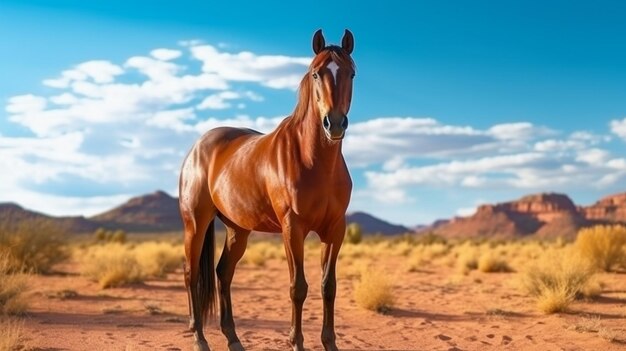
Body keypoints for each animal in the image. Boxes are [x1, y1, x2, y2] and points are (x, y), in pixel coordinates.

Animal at [179, 28, 356, 350]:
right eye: (316, 73)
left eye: (351, 73)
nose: (334, 124)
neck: (314, 161)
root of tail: (198, 147)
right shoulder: (292, 228)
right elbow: (298, 287)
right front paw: (296, 342)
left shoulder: (335, 229)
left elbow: (329, 286)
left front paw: (330, 343)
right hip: (195, 223)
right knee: (191, 273)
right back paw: (199, 338)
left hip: (238, 229)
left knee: (223, 273)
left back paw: (233, 339)